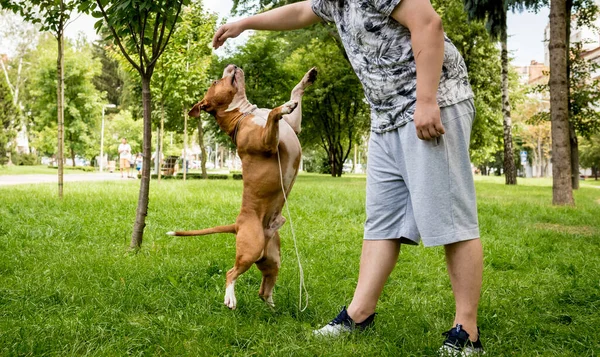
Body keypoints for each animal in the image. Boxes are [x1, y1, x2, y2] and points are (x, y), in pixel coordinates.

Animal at [166, 64, 316, 308]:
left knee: (263, 289)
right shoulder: (267, 142)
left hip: (271, 258)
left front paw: (306, 80)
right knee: (231, 272)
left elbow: (295, 92)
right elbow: (274, 113)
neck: (246, 112)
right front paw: (283, 106)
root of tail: (237, 224)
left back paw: (272, 306)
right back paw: (230, 297)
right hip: (250, 249)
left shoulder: (293, 126)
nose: (232, 65)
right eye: (216, 81)